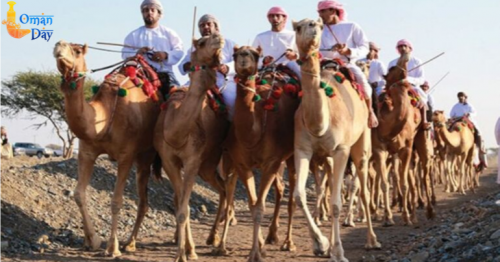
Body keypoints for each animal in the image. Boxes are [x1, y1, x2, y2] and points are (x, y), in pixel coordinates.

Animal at [52, 41, 160, 256]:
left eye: (77, 50)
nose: (59, 44)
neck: (103, 117)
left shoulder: (126, 156)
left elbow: (116, 201)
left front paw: (112, 247)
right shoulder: (86, 151)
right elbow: (78, 194)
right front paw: (92, 240)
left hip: (146, 154)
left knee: (145, 200)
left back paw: (130, 243)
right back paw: (130, 242)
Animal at [152, 33, 230, 262]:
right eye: (202, 42)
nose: (218, 37)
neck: (175, 130)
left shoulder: (193, 161)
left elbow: (184, 208)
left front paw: (186, 252)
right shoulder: (169, 161)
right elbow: (181, 206)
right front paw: (186, 249)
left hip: (219, 159)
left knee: (229, 190)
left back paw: (221, 244)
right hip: (208, 166)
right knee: (222, 189)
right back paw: (211, 237)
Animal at [220, 45, 300, 260]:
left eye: (255, 54)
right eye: (235, 53)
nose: (243, 57)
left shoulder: (271, 162)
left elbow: (260, 207)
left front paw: (255, 253)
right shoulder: (242, 164)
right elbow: (253, 204)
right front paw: (260, 247)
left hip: (291, 156)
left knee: (292, 196)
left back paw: (289, 242)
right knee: (280, 188)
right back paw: (272, 235)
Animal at [292, 18, 380, 262]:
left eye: (320, 26)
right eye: (298, 26)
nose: (313, 26)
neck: (320, 122)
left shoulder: (341, 150)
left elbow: (336, 204)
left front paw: (339, 253)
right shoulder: (303, 149)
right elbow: (299, 195)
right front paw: (321, 244)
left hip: (361, 145)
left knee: (363, 189)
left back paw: (372, 240)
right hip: (328, 158)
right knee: (332, 187)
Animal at [370, 52, 436, 226]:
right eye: (391, 68)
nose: (405, 54)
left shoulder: (406, 148)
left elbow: (404, 183)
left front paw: (406, 217)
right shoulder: (379, 149)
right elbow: (385, 183)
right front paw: (387, 217)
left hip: (421, 142)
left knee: (424, 175)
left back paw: (429, 211)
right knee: (410, 177)